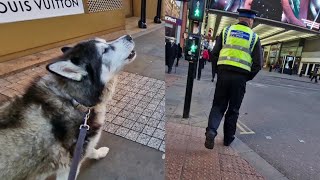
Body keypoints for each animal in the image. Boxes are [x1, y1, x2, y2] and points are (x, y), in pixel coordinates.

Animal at [0, 34, 136, 179]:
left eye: (105, 41)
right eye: (104, 51)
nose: (129, 36)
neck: (73, 100)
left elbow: (90, 150)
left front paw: (98, 152)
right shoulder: (67, 169)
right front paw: (99, 153)